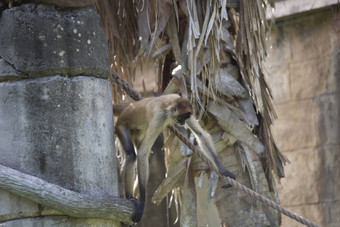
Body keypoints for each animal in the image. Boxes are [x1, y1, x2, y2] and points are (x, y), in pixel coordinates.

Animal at [115, 93, 235, 223]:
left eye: (187, 117)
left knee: (147, 161)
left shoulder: (177, 97)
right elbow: (143, 152)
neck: (168, 105)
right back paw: (129, 197)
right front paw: (142, 203)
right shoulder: (158, 117)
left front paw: (223, 170)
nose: (183, 122)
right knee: (132, 155)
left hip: (138, 132)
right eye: (181, 117)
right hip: (121, 126)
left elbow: (201, 134)